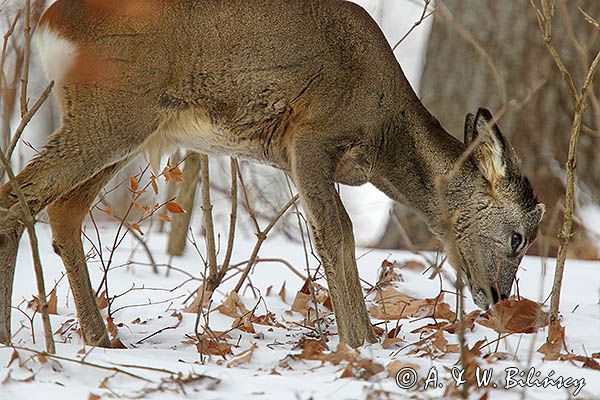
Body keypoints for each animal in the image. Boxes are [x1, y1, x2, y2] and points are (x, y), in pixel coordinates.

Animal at [0, 0, 544, 350]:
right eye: (518, 237)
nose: (499, 298)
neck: (383, 132)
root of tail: (46, 21)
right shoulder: (311, 136)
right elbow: (338, 234)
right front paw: (362, 344)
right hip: (115, 110)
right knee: (17, 197)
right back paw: (14, 338)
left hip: (128, 124)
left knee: (62, 210)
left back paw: (100, 340)